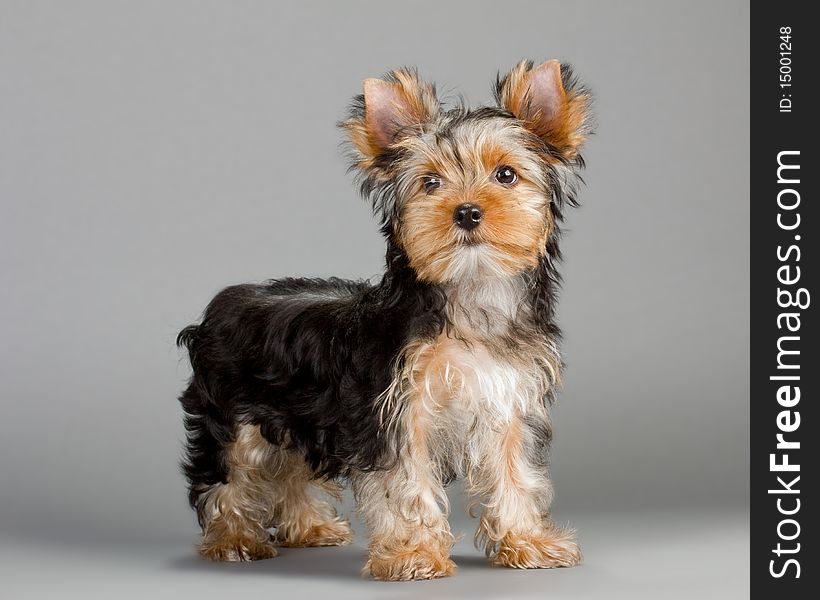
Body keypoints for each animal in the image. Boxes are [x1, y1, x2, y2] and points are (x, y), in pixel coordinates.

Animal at [178, 59, 588, 580]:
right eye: (431, 183)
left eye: (506, 175)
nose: (467, 212)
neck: (469, 296)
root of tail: (225, 303)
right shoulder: (392, 411)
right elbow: (404, 482)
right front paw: (415, 554)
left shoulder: (508, 399)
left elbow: (515, 472)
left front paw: (527, 542)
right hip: (232, 413)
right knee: (228, 472)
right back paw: (232, 538)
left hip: (296, 414)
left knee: (291, 463)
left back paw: (309, 527)